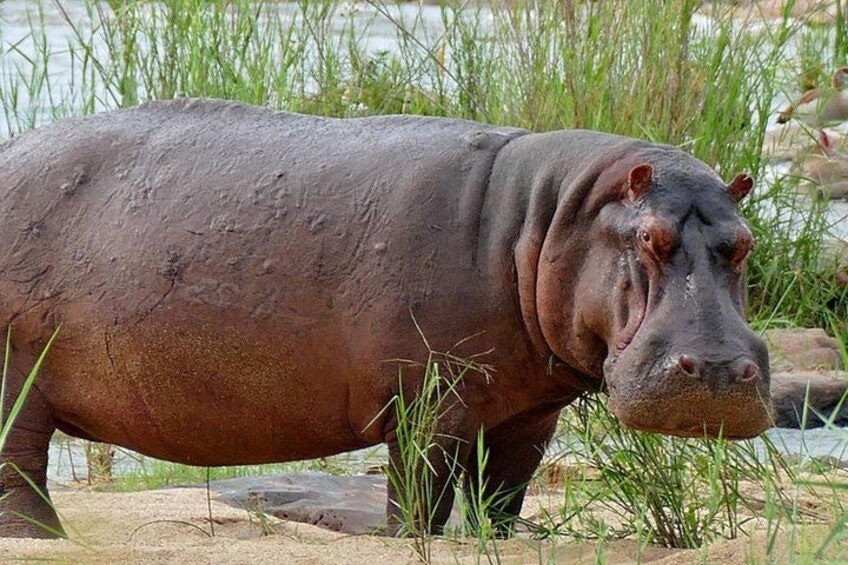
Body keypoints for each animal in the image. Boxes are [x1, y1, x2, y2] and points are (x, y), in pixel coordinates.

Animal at [0, 99, 770, 538]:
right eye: (650, 240)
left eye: (744, 243)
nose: (720, 369)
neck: (548, 219)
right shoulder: (428, 399)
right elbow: (421, 494)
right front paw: (407, 541)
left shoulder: (530, 413)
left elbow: (505, 494)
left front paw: (498, 541)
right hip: (17, 373)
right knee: (20, 463)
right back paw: (43, 536)